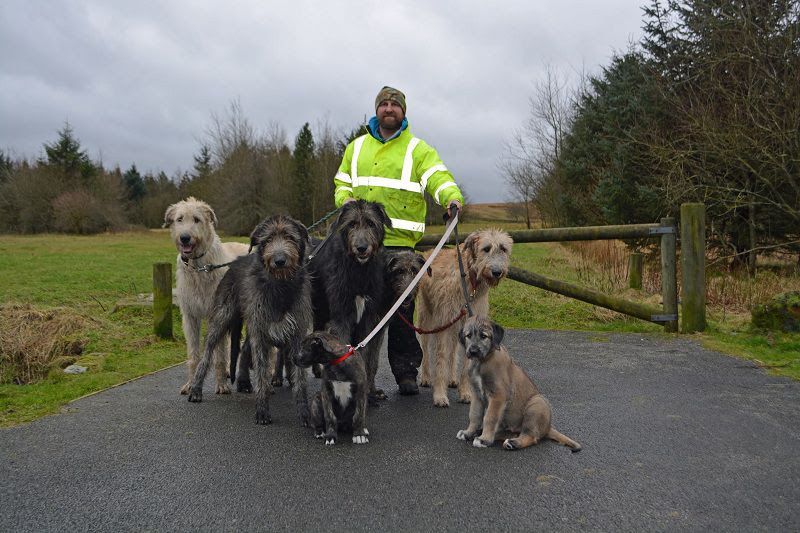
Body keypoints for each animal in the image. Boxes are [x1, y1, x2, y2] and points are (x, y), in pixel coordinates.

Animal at [163, 197, 248, 392]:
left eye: (196, 219)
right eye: (179, 219)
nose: (185, 238)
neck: (199, 267)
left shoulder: (216, 314)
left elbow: (219, 355)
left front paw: (221, 386)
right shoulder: (189, 316)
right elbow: (194, 354)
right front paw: (190, 384)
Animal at [188, 214, 312, 426]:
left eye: (290, 237)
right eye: (267, 240)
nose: (279, 260)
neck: (280, 287)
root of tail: (236, 262)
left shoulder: (296, 334)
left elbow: (300, 379)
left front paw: (304, 413)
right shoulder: (261, 333)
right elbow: (261, 374)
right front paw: (262, 410)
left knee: (245, 348)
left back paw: (244, 381)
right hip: (223, 317)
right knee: (208, 352)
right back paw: (196, 388)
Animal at [416, 227, 510, 406]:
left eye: (503, 248)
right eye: (486, 248)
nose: (497, 272)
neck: (469, 280)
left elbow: (466, 362)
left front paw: (466, 392)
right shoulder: (444, 319)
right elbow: (440, 357)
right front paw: (440, 395)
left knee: (453, 348)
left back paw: (452, 378)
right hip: (427, 317)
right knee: (425, 347)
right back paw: (426, 376)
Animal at [456, 314, 580, 450]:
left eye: (484, 336)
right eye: (468, 336)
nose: (473, 351)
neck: (481, 362)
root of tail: (548, 427)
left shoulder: (498, 395)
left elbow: (490, 417)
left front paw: (484, 439)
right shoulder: (476, 394)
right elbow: (474, 415)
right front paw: (469, 432)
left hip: (536, 404)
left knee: (530, 436)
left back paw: (513, 442)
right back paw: (483, 433)